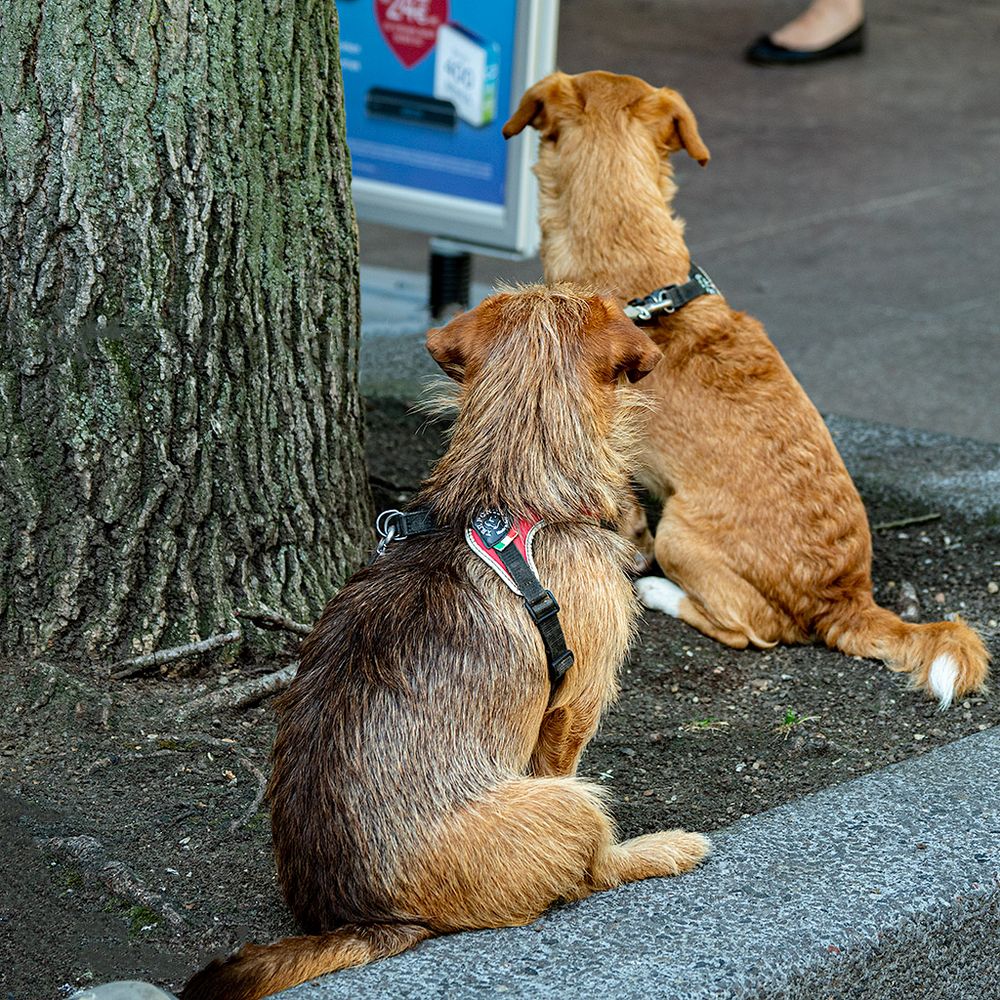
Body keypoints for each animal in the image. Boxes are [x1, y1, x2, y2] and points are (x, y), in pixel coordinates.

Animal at [182, 284, 712, 1000]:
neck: (508, 489)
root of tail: (368, 918)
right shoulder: (575, 704)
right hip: (572, 806)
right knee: (590, 869)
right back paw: (665, 848)